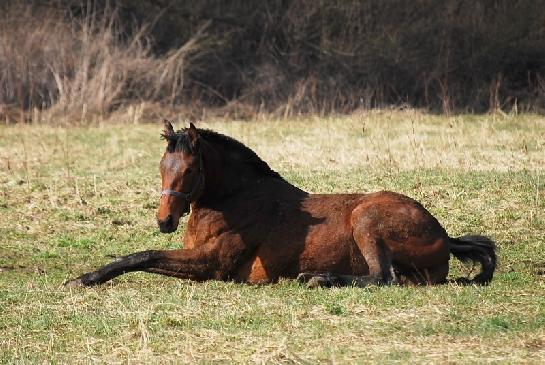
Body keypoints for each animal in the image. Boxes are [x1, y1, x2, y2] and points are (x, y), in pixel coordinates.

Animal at [62, 121, 492, 288]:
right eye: (162, 167)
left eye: (190, 169)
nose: (165, 221)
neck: (234, 200)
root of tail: (445, 236)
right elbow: (142, 256)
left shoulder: (211, 266)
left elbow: (143, 255)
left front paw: (82, 279)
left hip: (366, 221)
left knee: (381, 277)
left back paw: (319, 278)